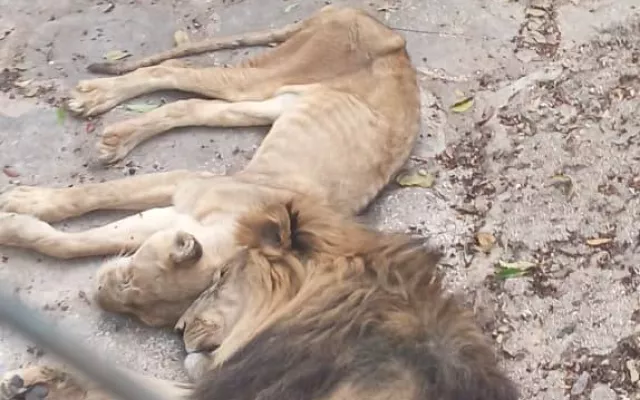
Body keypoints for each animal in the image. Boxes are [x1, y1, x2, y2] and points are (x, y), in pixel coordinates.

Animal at [0, 5, 420, 327]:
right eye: (130, 282)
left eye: (139, 312)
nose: (98, 295)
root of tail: (383, 29)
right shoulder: (186, 183)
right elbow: (94, 196)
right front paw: (23, 204)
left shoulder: (169, 215)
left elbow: (75, 243)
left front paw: (16, 224)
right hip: (266, 76)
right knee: (173, 72)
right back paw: (95, 99)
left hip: (268, 102)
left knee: (191, 106)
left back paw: (117, 137)